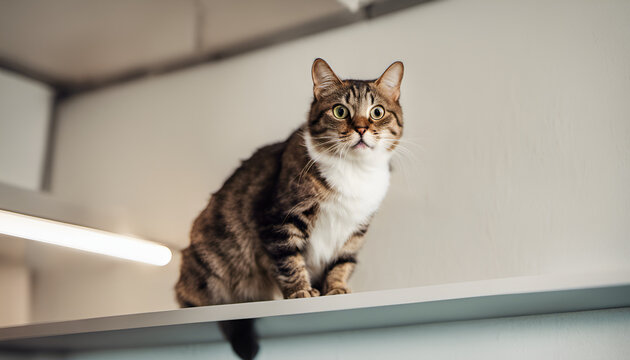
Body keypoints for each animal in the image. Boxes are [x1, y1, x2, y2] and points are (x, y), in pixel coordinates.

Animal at [175, 57, 408, 358]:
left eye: (377, 112)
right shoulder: (280, 218)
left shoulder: (355, 231)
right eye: (340, 111)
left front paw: (336, 288)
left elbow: (342, 263)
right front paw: (301, 292)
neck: (355, 173)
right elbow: (289, 260)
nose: (361, 128)